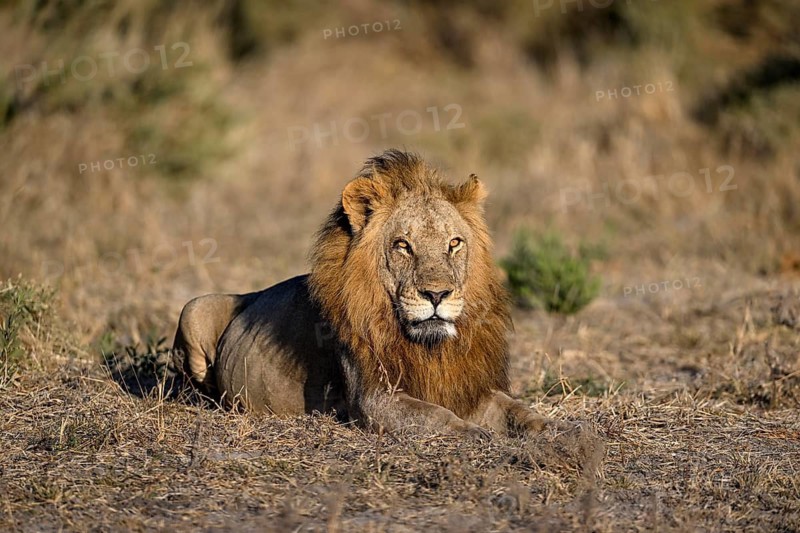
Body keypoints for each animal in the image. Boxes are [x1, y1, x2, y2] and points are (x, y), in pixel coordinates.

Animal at [171, 149, 566, 439]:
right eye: (402, 245)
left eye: (454, 243)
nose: (437, 294)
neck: (430, 347)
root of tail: (250, 294)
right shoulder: (374, 398)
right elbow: (436, 416)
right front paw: (475, 434)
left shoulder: (471, 386)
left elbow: (518, 410)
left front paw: (558, 431)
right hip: (194, 307)